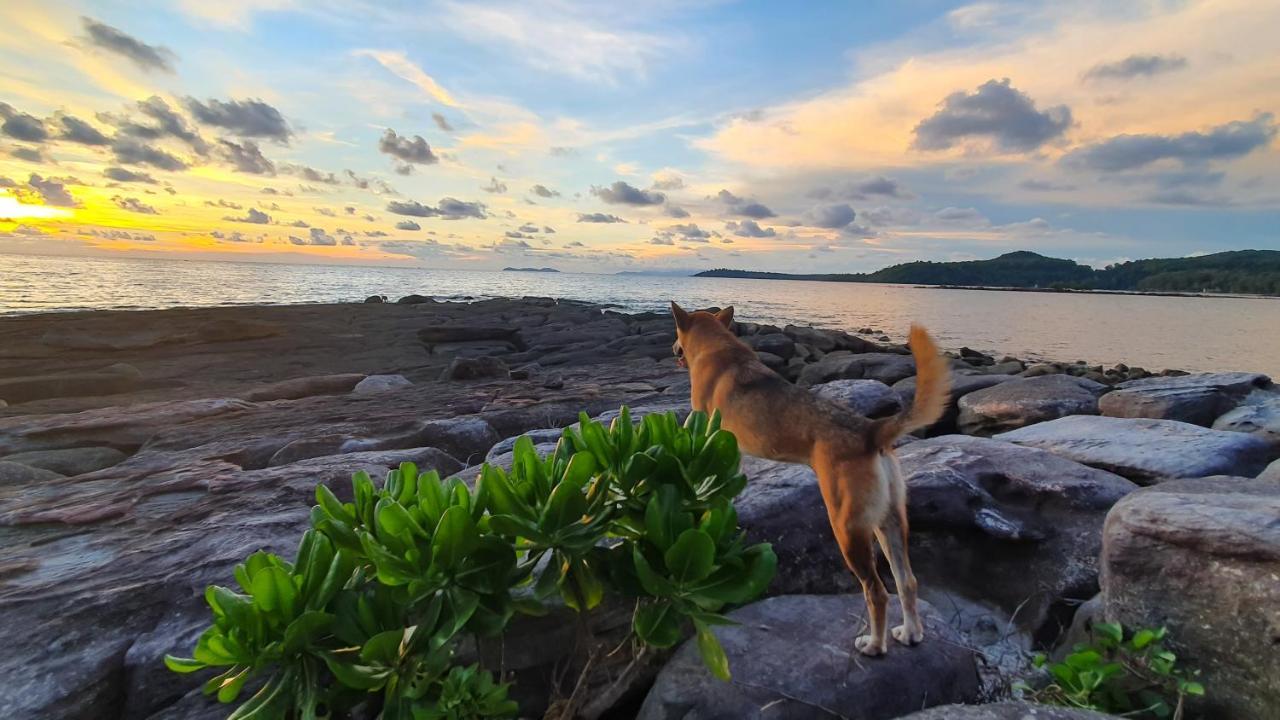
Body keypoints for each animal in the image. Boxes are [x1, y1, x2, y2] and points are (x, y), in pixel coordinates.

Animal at [670, 299, 952, 653]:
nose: (673, 349)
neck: (717, 345)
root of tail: (871, 430)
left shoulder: (707, 429)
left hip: (846, 527)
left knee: (876, 591)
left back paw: (874, 645)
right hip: (890, 521)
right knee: (907, 581)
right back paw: (911, 633)